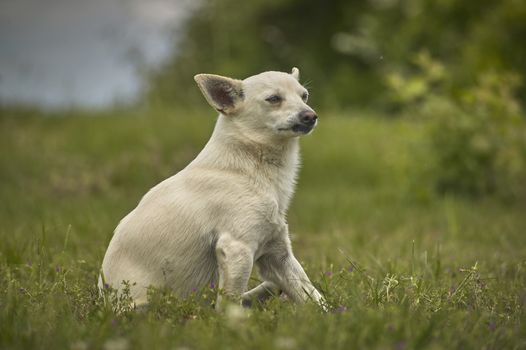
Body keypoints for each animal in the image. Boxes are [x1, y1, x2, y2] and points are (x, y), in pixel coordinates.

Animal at [100, 67, 326, 308]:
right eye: (274, 99)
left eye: (304, 96)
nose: (311, 116)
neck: (250, 170)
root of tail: (105, 300)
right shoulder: (237, 248)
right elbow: (229, 305)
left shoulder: (278, 255)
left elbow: (313, 295)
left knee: (270, 287)